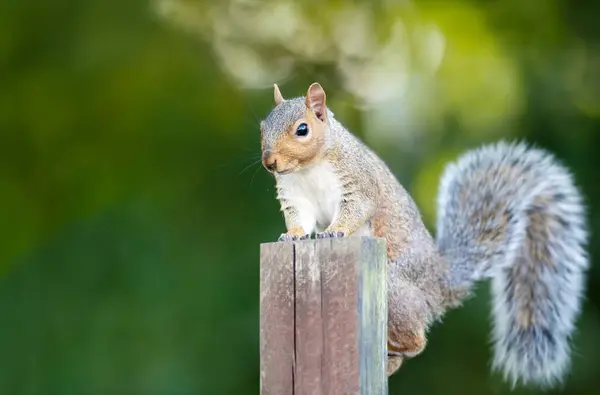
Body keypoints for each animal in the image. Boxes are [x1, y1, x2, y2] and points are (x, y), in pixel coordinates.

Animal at [260, 82, 588, 388]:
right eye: (262, 128)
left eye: (302, 129)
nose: (269, 162)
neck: (308, 169)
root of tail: (439, 281)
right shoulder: (294, 196)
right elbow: (299, 220)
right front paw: (292, 236)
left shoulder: (359, 181)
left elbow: (357, 207)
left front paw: (335, 231)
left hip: (395, 288)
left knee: (418, 342)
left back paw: (397, 349)